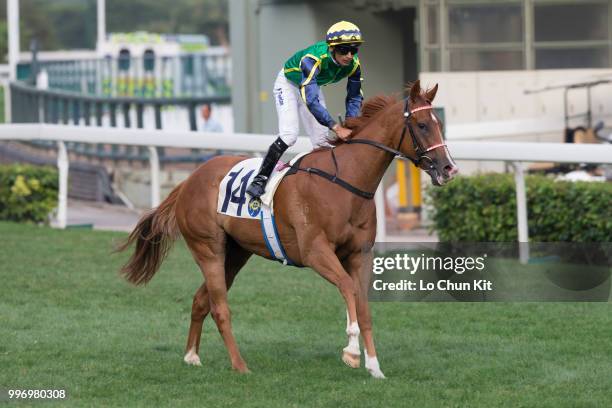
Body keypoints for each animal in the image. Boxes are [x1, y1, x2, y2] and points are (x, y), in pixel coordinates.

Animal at [118, 80, 454, 380]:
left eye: (439, 122)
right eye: (422, 125)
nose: (449, 168)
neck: (345, 180)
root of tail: (189, 180)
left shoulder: (360, 254)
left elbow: (363, 304)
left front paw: (374, 366)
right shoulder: (315, 251)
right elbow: (347, 287)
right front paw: (351, 352)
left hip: (235, 254)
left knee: (202, 300)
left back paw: (191, 356)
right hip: (208, 248)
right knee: (220, 307)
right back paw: (239, 365)